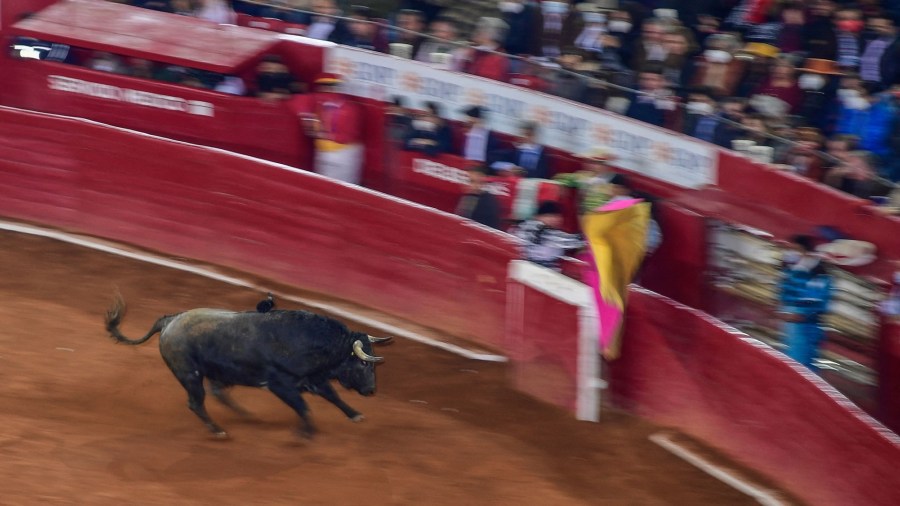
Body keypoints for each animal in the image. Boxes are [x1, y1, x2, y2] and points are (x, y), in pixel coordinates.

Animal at [103, 296, 388, 438]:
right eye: (364, 362)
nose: (372, 390)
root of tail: (170, 320)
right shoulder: (281, 385)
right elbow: (304, 407)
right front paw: (306, 432)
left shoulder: (312, 379)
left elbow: (332, 396)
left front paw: (354, 414)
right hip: (189, 376)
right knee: (196, 403)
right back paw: (218, 430)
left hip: (212, 373)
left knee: (218, 393)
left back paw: (246, 415)